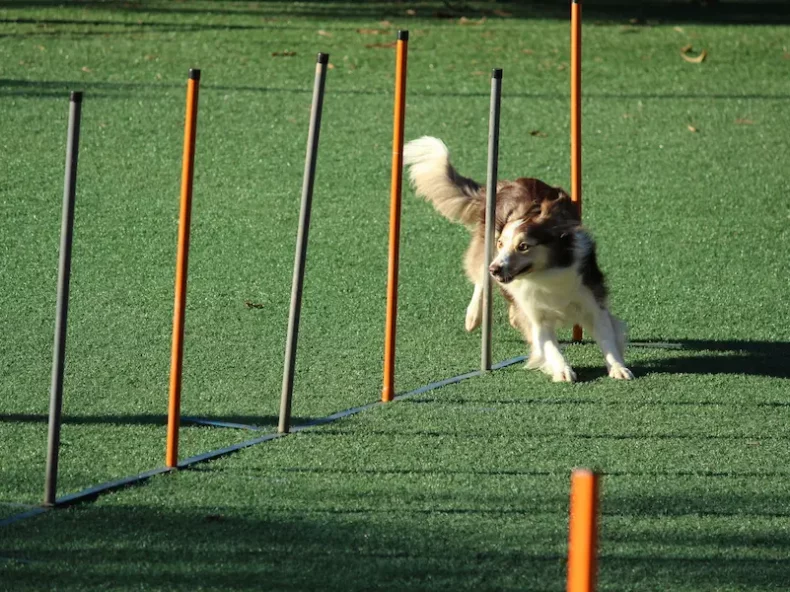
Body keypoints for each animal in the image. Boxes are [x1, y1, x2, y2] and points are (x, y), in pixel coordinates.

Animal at [406, 136, 636, 382]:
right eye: (501, 243)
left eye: (523, 246)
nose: (495, 269)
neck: (545, 274)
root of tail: (505, 184)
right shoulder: (536, 315)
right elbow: (550, 346)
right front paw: (562, 370)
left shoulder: (592, 300)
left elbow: (607, 337)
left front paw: (618, 368)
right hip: (485, 247)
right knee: (479, 277)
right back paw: (474, 316)